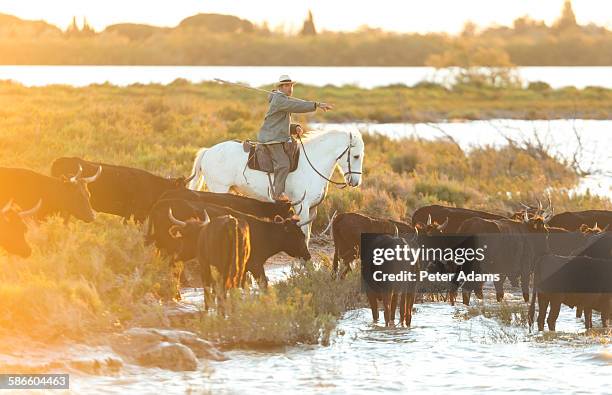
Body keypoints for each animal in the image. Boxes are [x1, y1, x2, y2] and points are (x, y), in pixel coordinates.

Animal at [189, 129, 366, 244]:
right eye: (356, 156)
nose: (355, 182)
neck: (313, 163)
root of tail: (208, 151)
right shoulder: (302, 206)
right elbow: (303, 235)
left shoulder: (312, 209)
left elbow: (307, 235)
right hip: (219, 189)